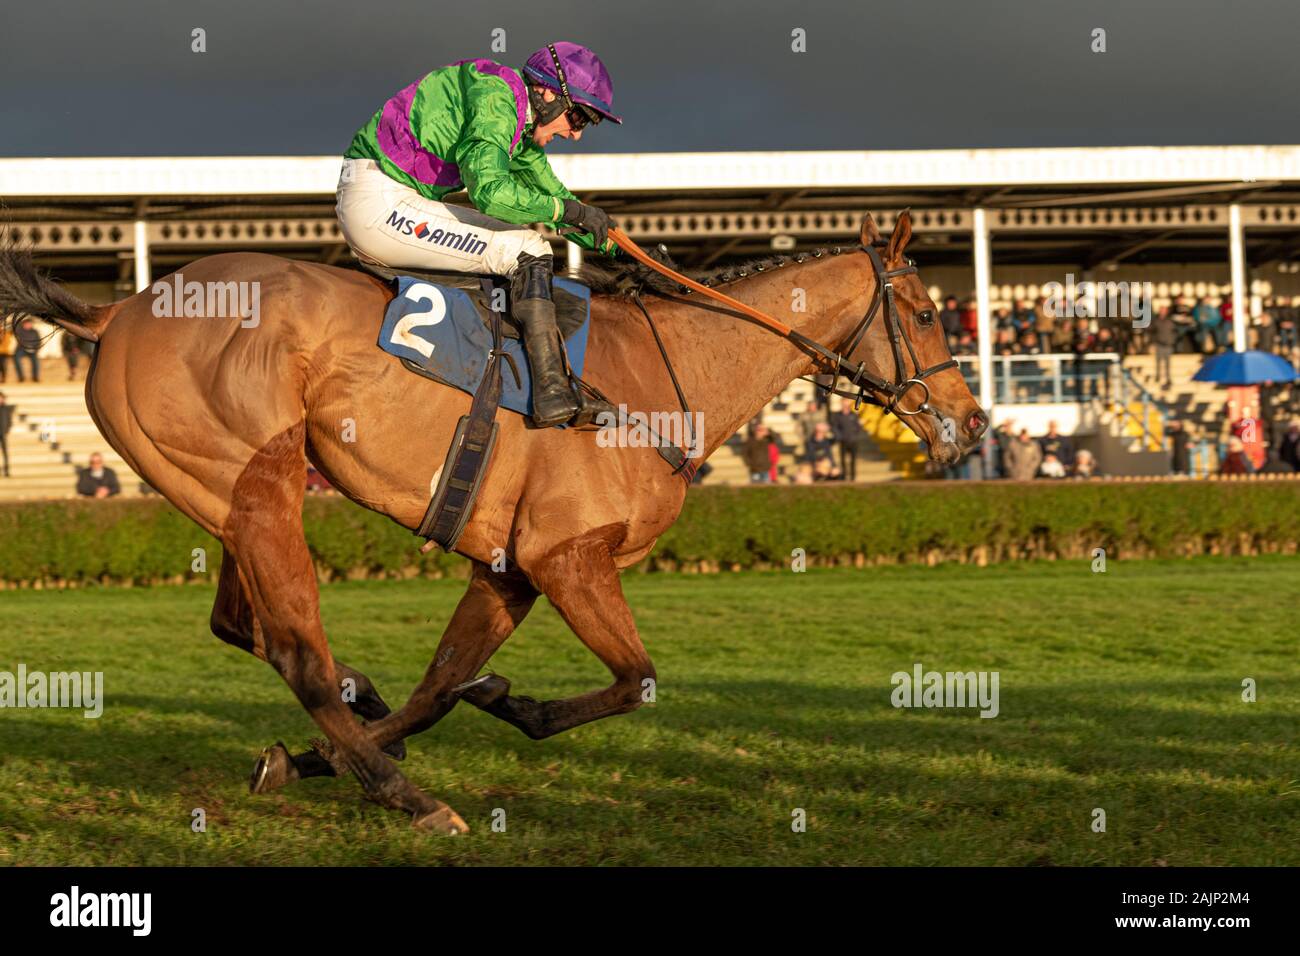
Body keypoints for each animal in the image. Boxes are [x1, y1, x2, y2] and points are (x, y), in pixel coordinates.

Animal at [0, 209, 982, 832]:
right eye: (926, 312)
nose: (971, 425)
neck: (664, 375)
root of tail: (122, 307)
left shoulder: (507, 569)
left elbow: (440, 687)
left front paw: (320, 755)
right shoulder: (566, 556)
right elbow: (636, 679)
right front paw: (504, 706)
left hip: (220, 498)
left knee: (243, 625)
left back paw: (358, 714)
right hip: (261, 483)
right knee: (296, 648)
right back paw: (408, 798)